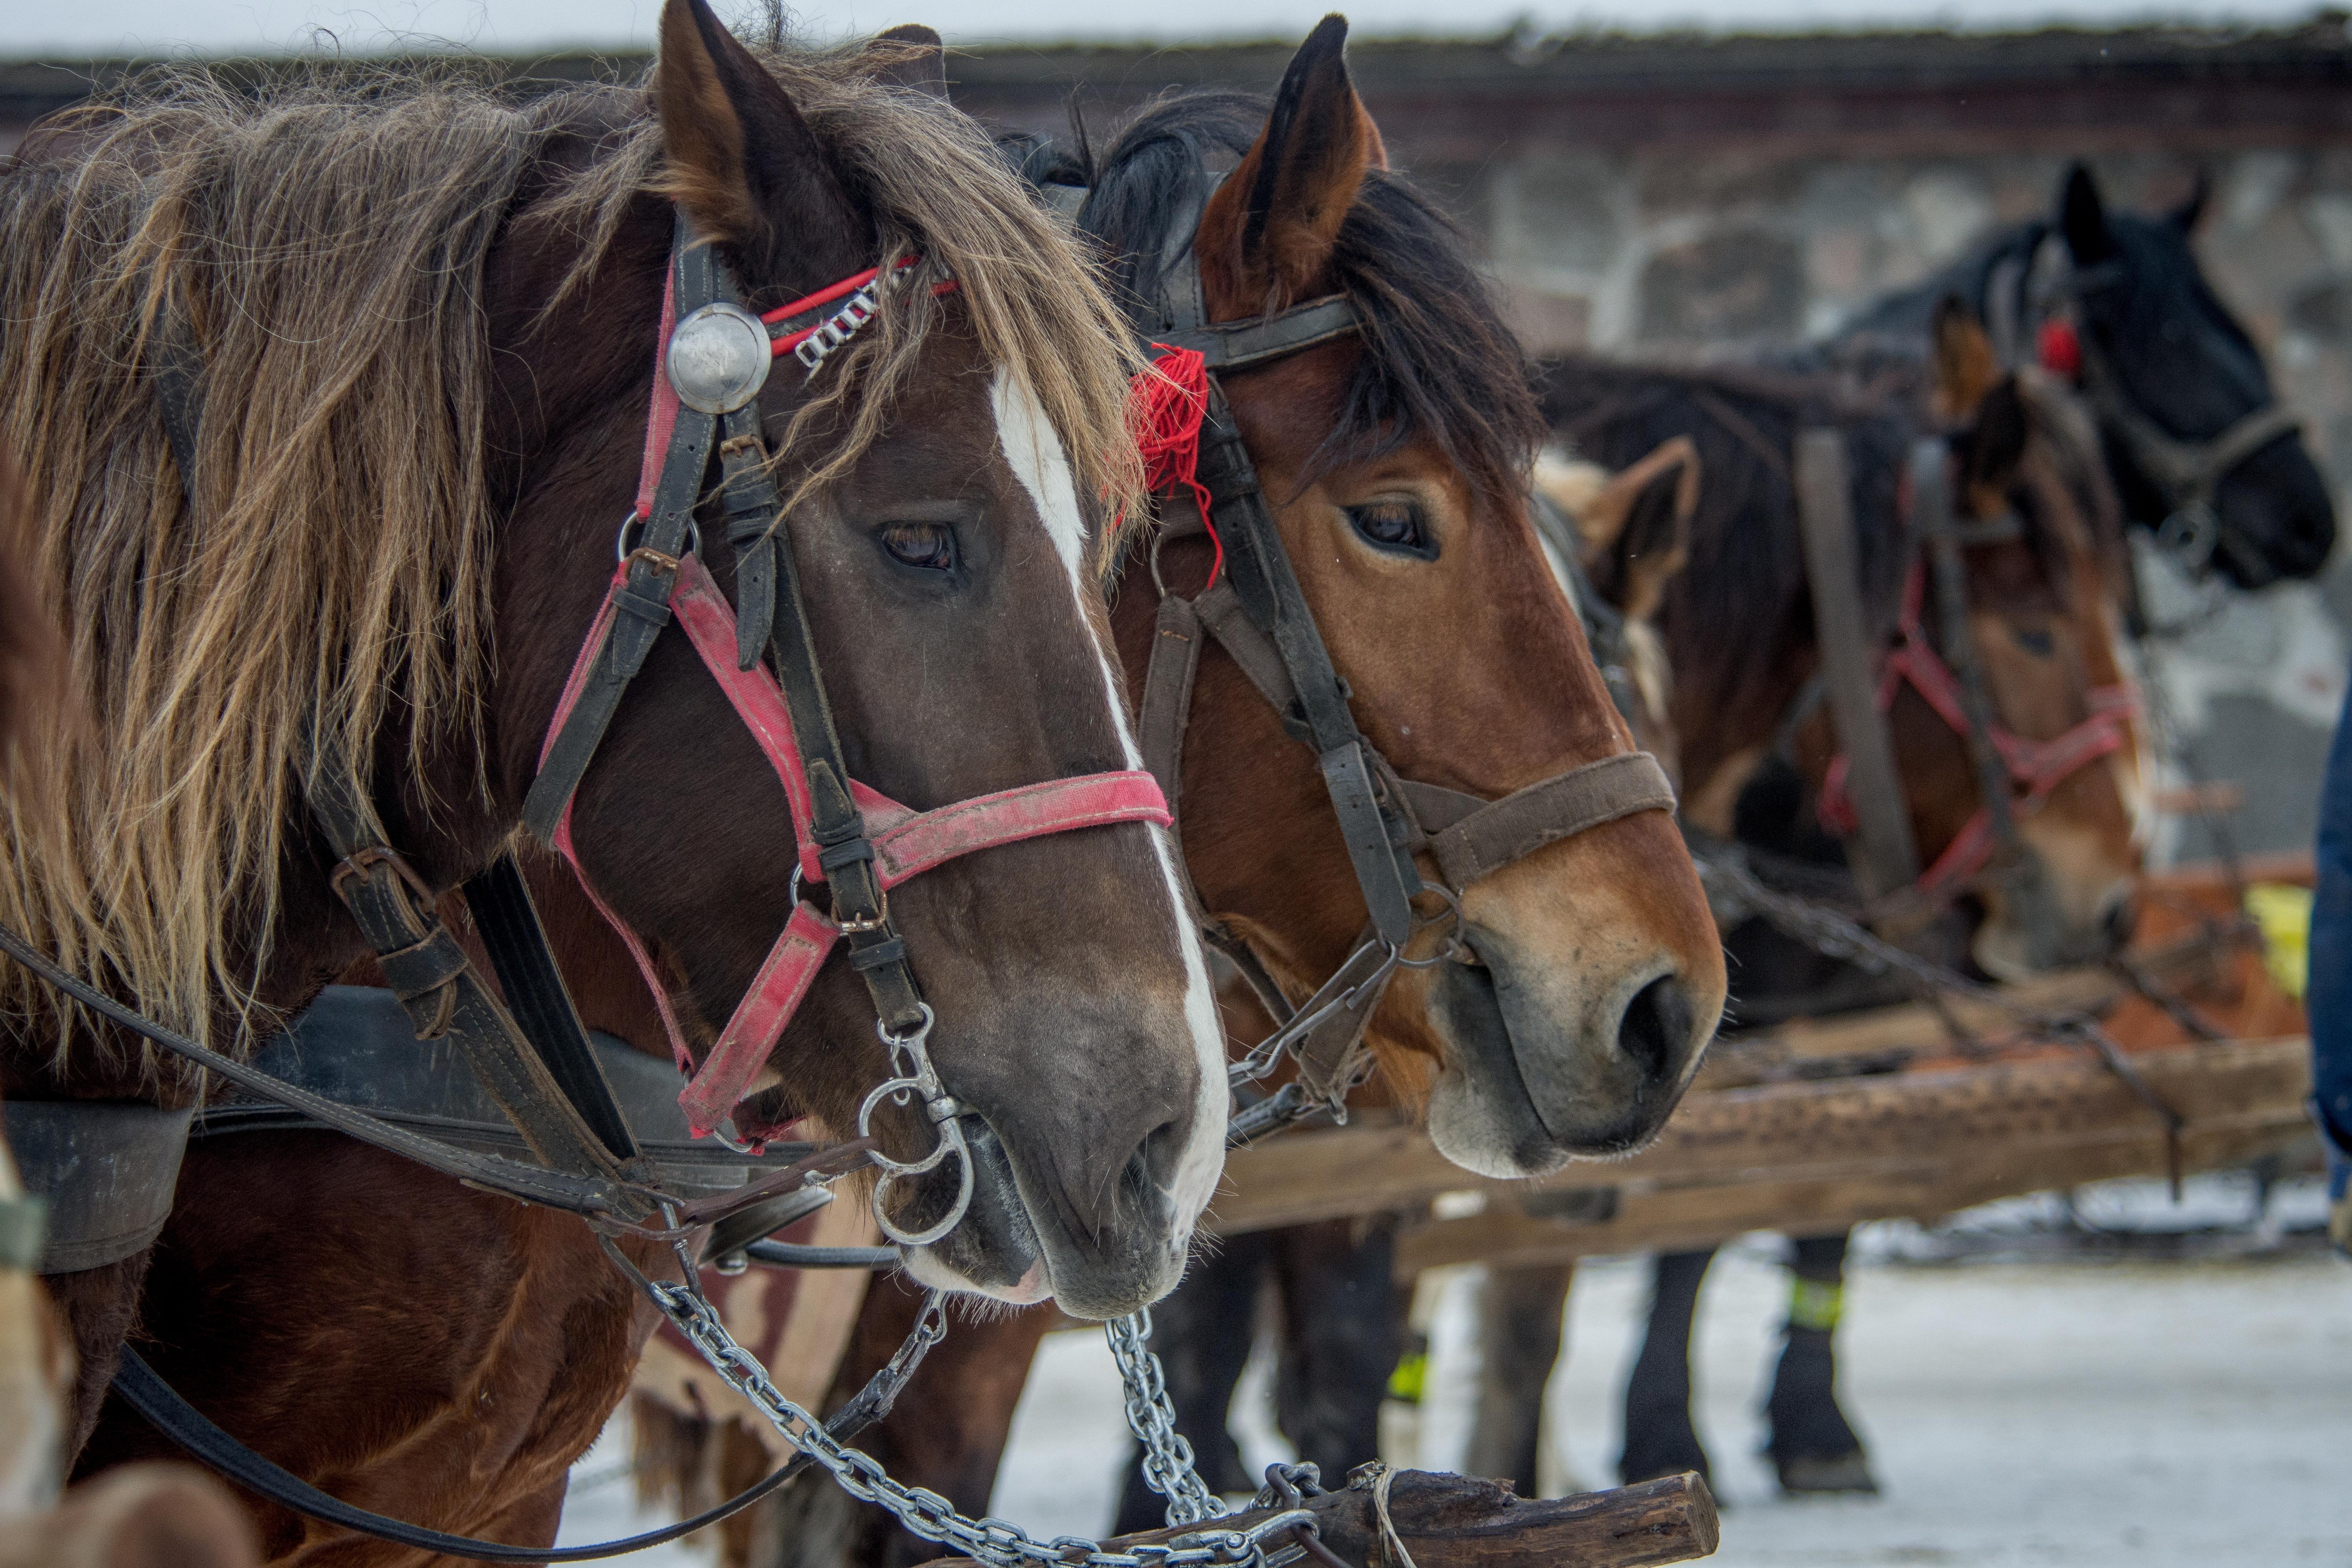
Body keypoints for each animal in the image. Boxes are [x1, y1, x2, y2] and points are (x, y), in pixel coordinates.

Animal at [1515, 303, 2154, 1495]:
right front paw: (1665, 1432)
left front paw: (1808, 1423)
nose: (2111, 897)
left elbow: (1816, 1205)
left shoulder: (1831, 1009)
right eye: (2034, 630)